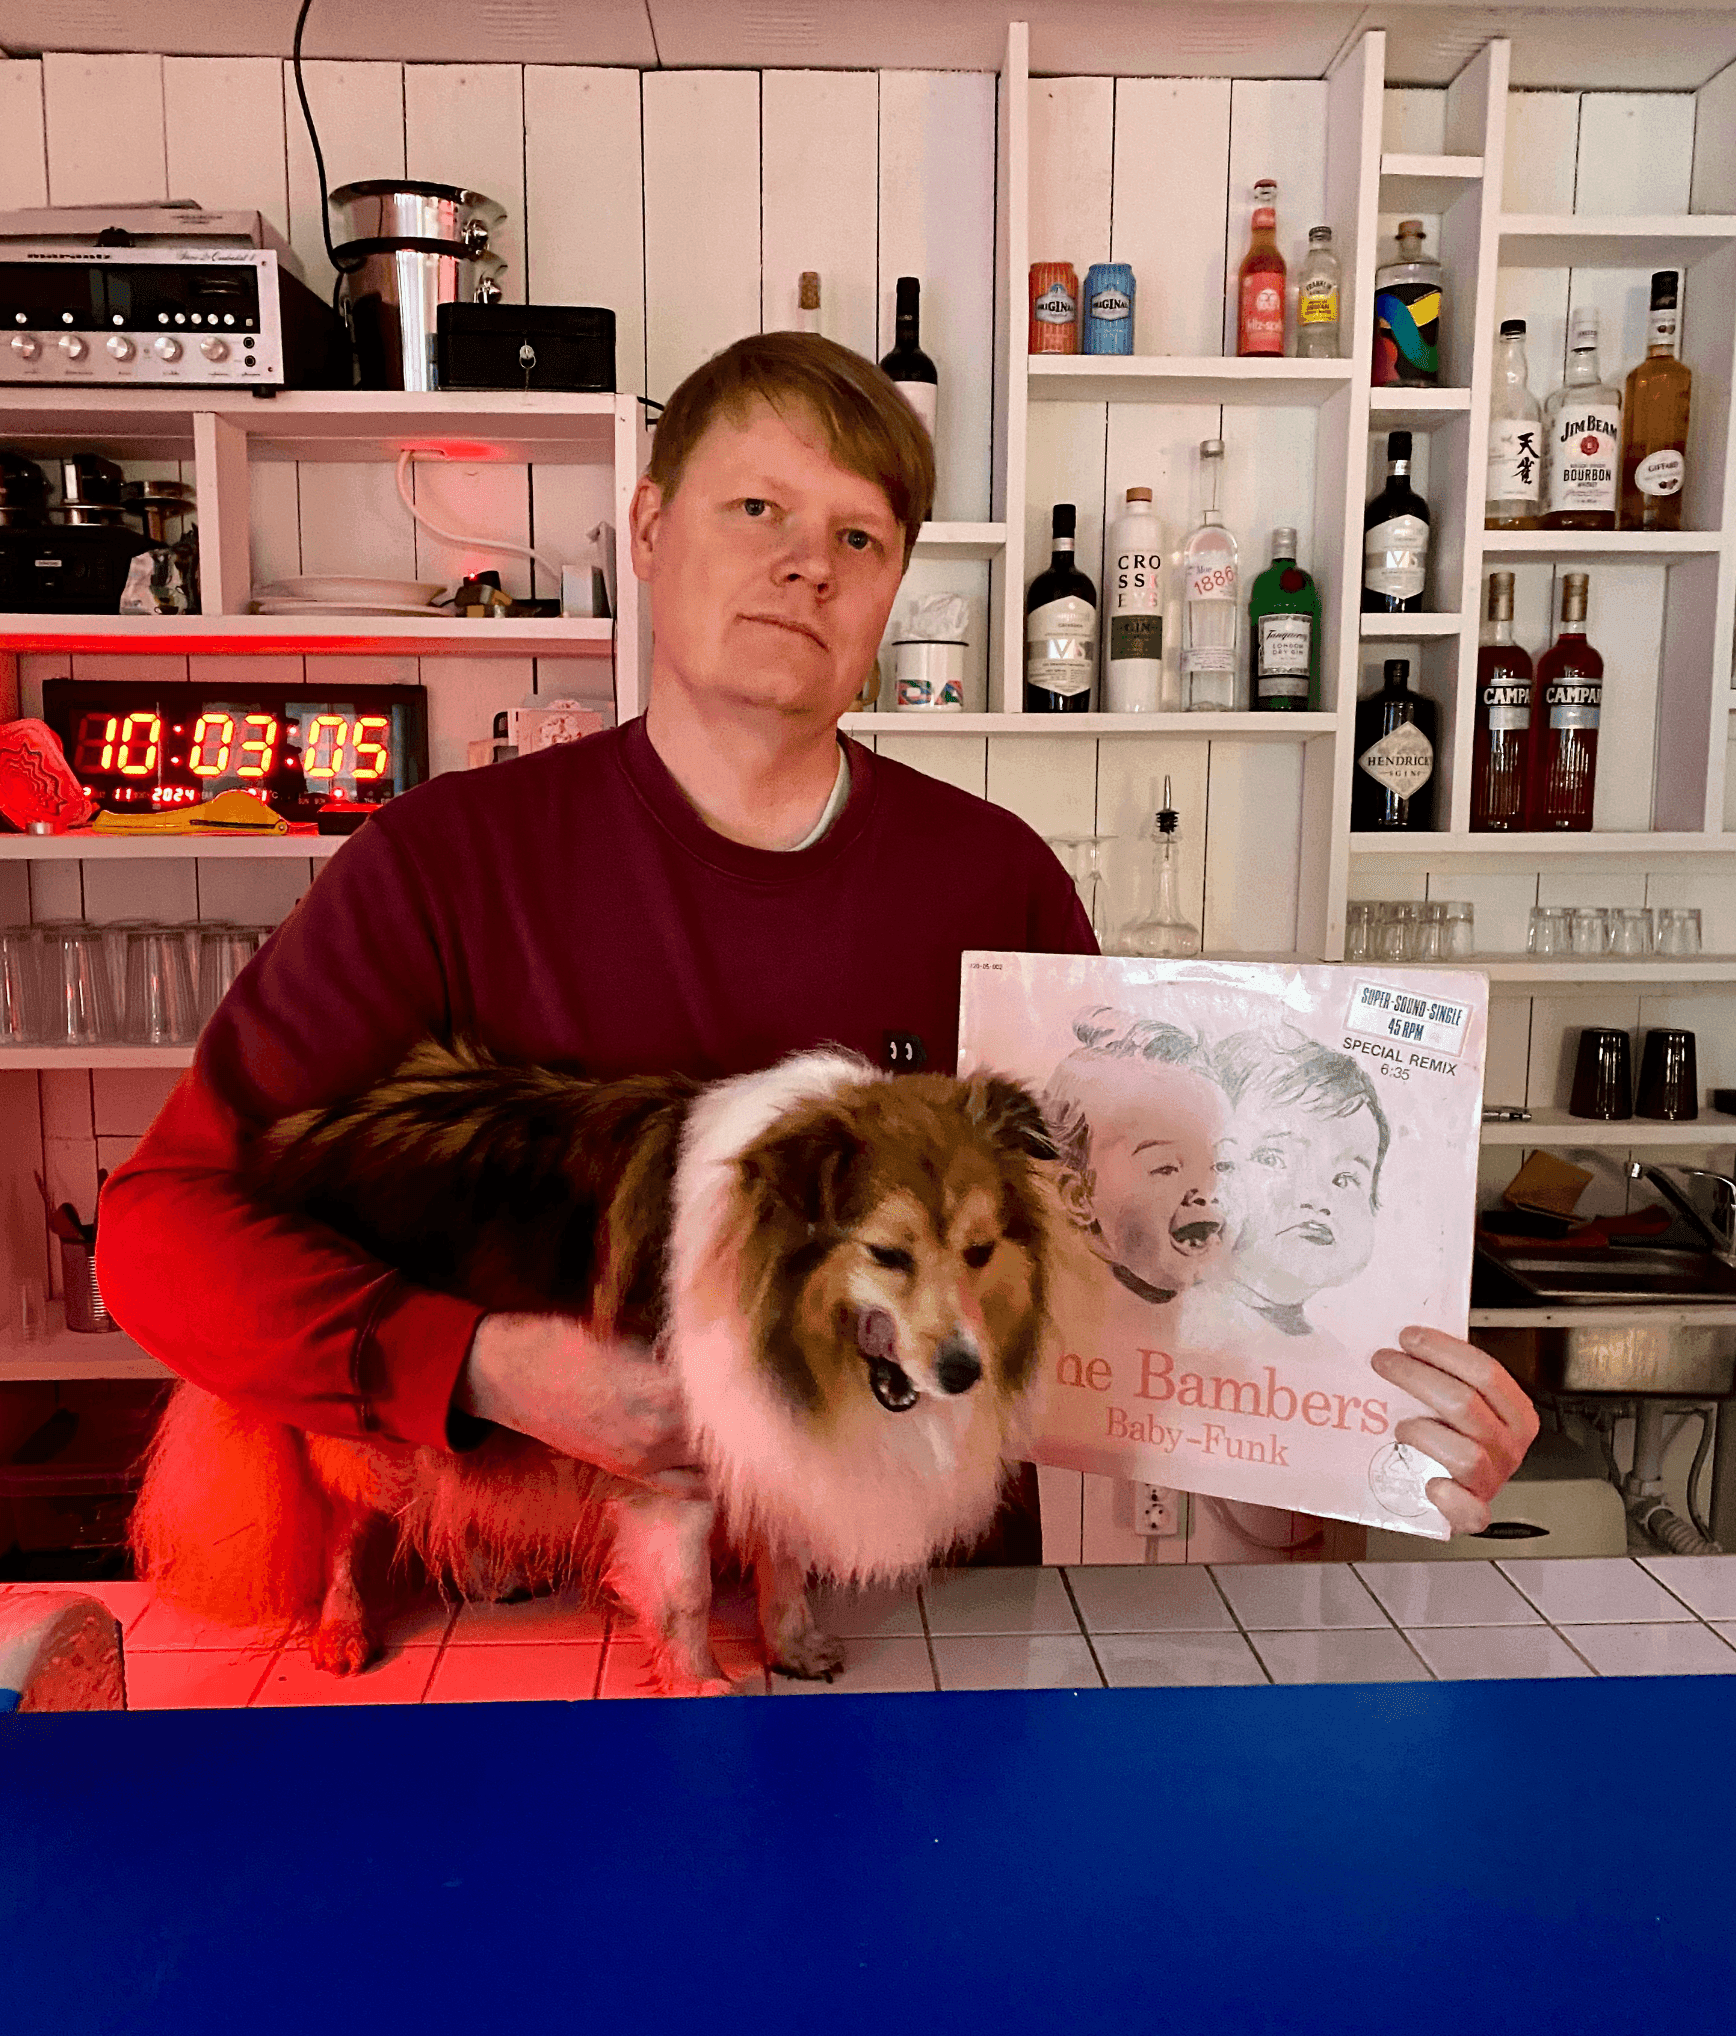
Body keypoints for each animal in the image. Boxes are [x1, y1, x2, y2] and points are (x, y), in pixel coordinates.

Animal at [130, 1043, 1059, 1690]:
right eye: (888, 1254)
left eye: (980, 1251)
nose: (964, 1372)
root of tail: (303, 1126)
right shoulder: (672, 1462)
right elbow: (685, 1592)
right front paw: (702, 1684)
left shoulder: (764, 1429)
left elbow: (783, 1558)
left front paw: (793, 1647)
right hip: (360, 1434)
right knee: (343, 1527)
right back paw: (343, 1629)